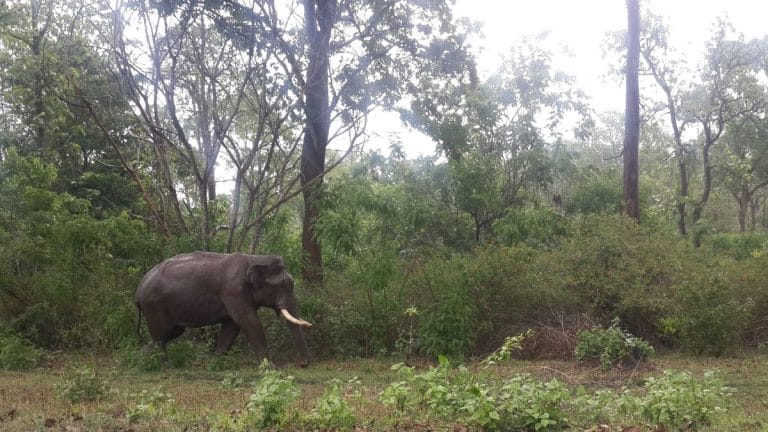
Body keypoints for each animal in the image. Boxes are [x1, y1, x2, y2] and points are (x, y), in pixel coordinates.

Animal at [135, 252, 312, 366]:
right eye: (282, 286)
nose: (302, 364)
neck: (254, 258)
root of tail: (138, 289)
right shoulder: (234, 290)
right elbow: (248, 321)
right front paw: (270, 368)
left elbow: (231, 326)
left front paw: (216, 362)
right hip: (154, 305)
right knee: (161, 335)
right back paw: (165, 364)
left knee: (169, 333)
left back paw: (141, 357)